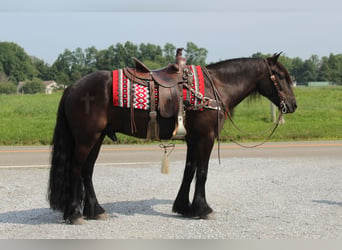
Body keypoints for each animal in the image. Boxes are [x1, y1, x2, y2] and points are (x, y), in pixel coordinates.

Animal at [48, 52, 296, 225]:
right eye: (281, 76)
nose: (293, 105)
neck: (215, 87)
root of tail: (72, 87)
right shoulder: (206, 137)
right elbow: (202, 172)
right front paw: (203, 209)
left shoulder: (193, 139)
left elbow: (189, 171)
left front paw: (184, 207)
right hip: (86, 139)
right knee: (76, 170)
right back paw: (74, 214)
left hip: (97, 138)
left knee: (87, 171)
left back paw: (95, 211)